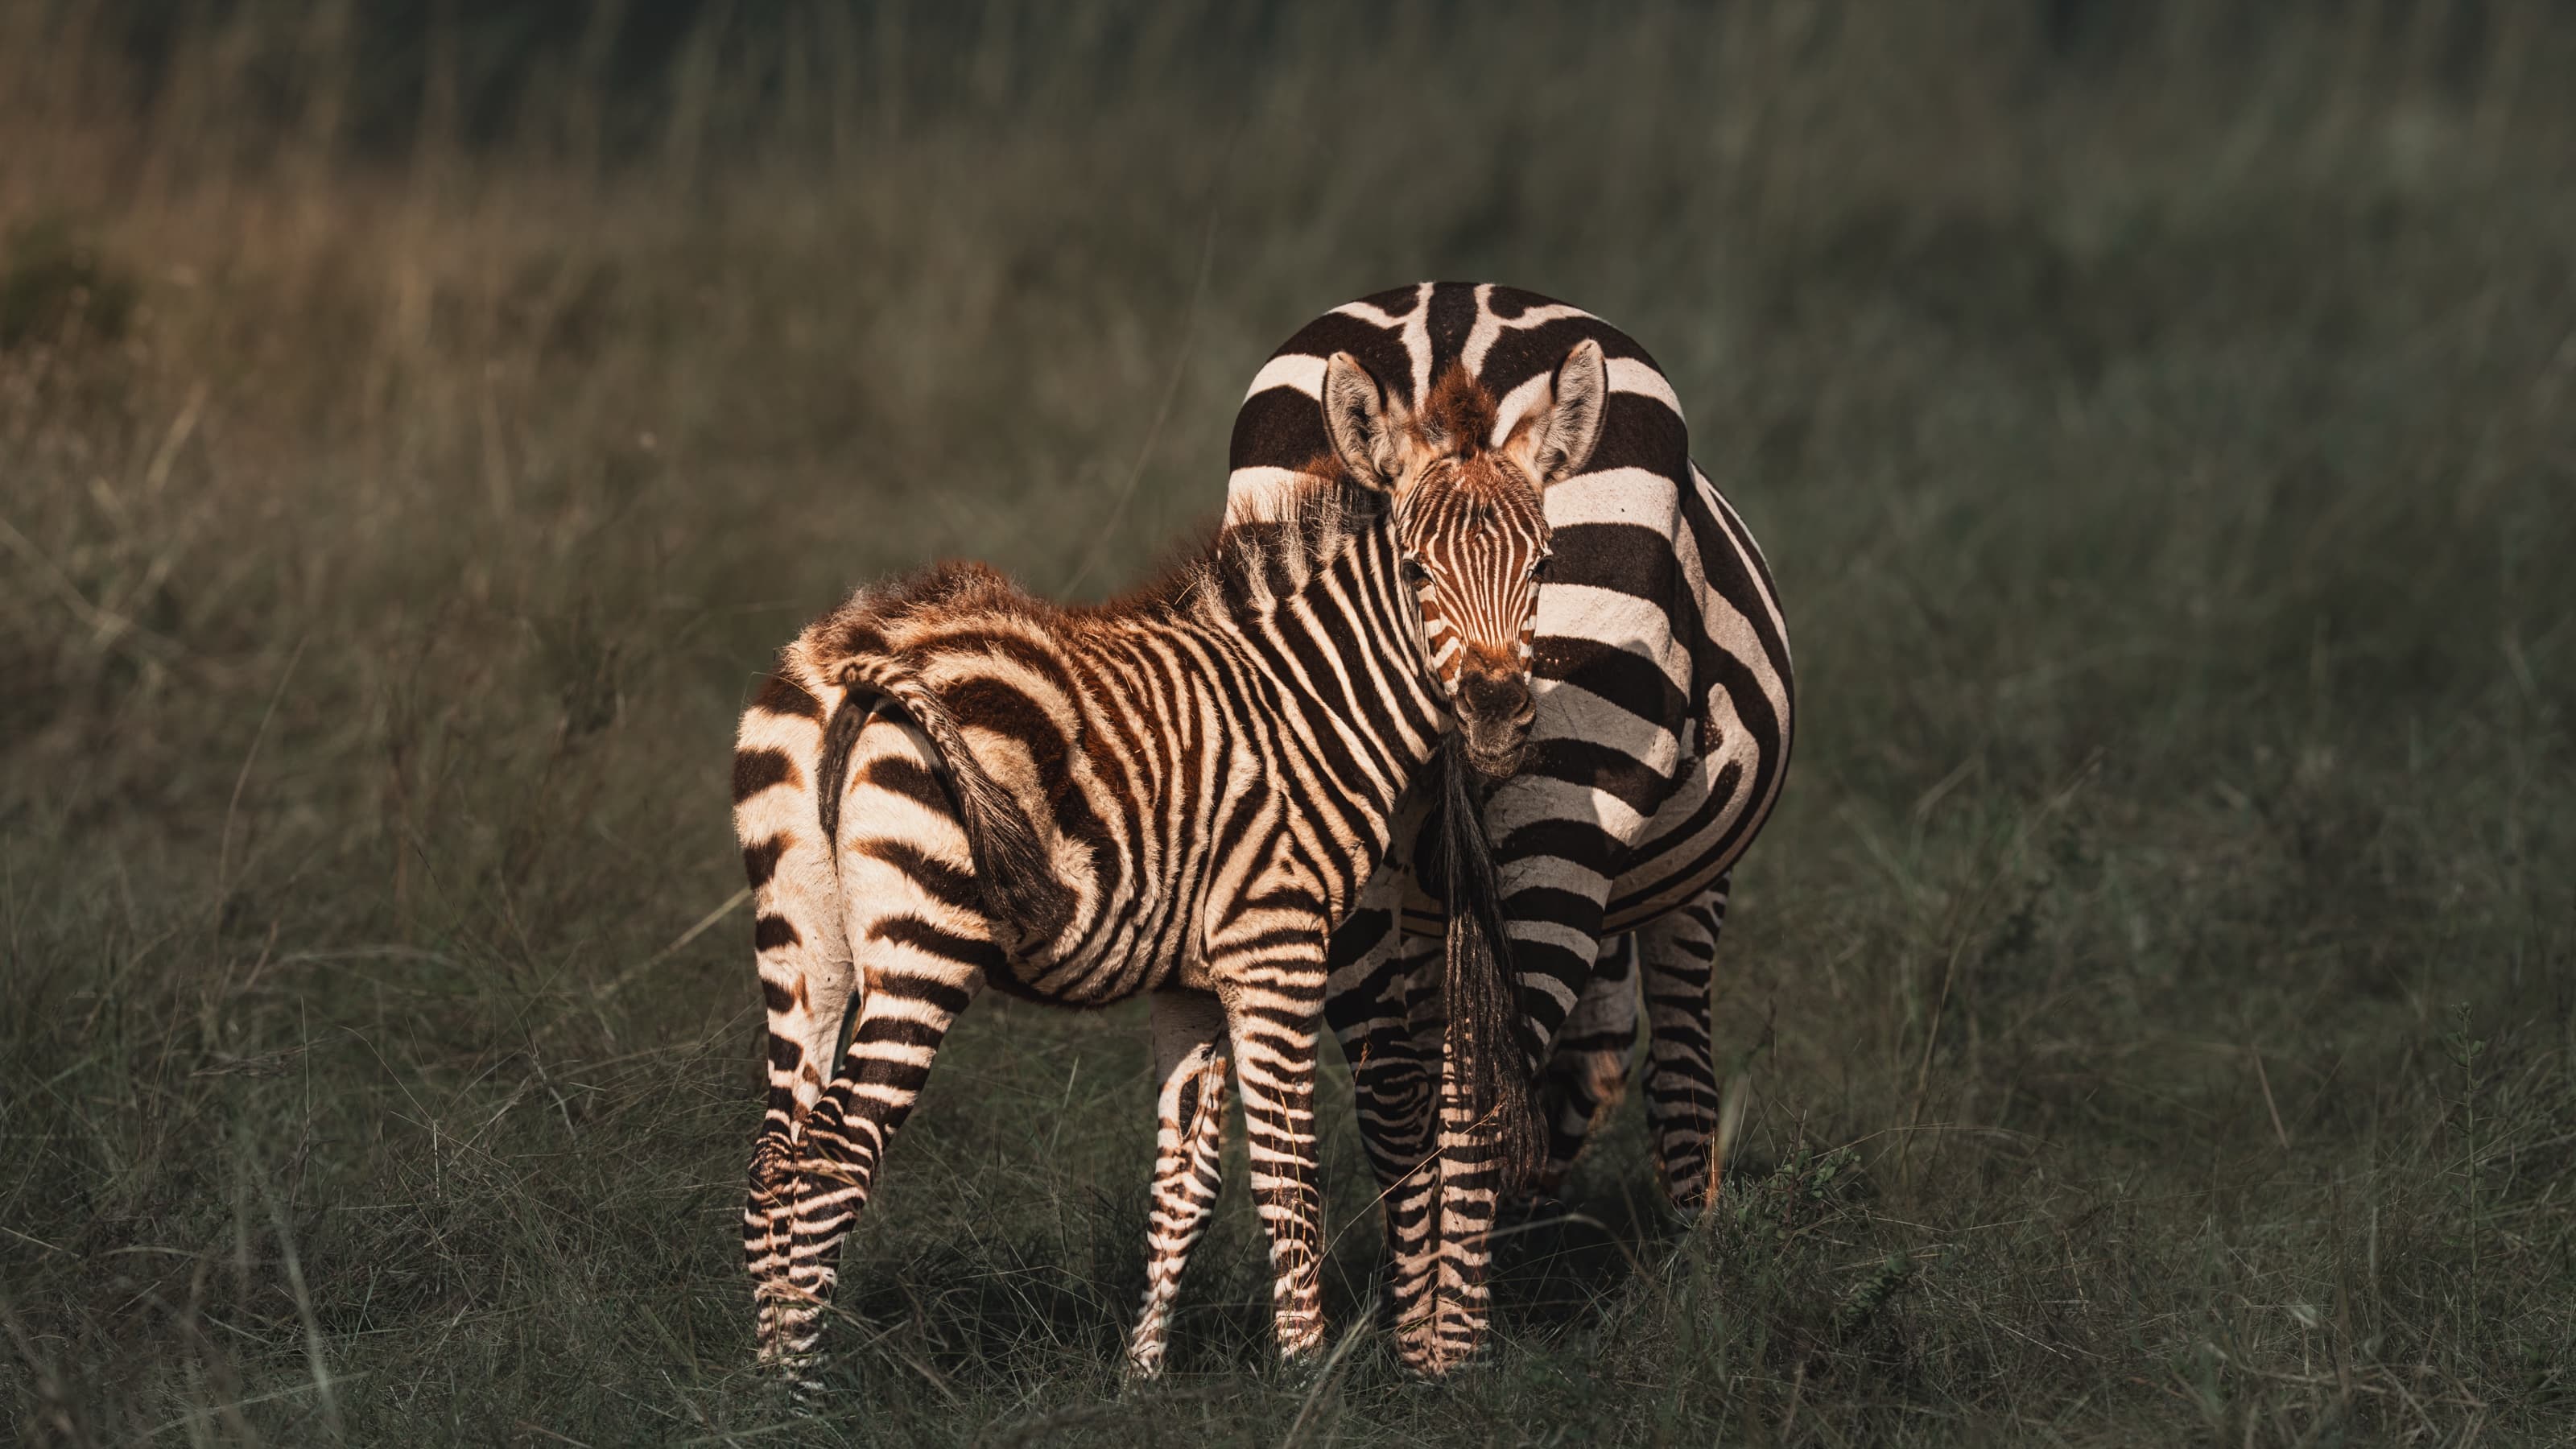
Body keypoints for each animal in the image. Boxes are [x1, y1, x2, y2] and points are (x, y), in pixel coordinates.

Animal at [731, 335, 1612, 1386]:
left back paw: (760, 1383)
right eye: (1413, 569)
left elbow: (1184, 1180)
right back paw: (801, 1388)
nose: (1496, 713)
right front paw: (1308, 1380)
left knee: (775, 1157)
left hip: (802, 935)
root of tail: (865, 658)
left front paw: (1139, 1379)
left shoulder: (1188, 979)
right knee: (833, 1152)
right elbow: (1285, 1174)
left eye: (1544, 562)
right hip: (924, 934)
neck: (1312, 701)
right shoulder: (1274, 947)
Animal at [1206, 282, 1796, 1372]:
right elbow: (1682, 1086)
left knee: (1396, 1090)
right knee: (1479, 1090)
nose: (1538, 1204)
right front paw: (1702, 1282)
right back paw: (1455, 1361)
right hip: (1569, 787)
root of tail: (1447, 337)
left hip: (1326, 801)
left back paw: (1409, 1344)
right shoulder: (1699, 886)